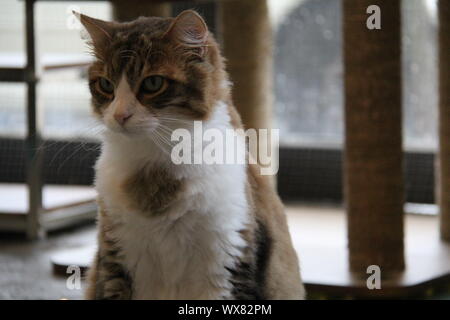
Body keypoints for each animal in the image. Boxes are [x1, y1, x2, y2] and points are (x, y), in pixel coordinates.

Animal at [75, 10, 304, 300]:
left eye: (152, 83)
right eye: (105, 84)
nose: (119, 115)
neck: (155, 167)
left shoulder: (226, 261)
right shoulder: (115, 259)